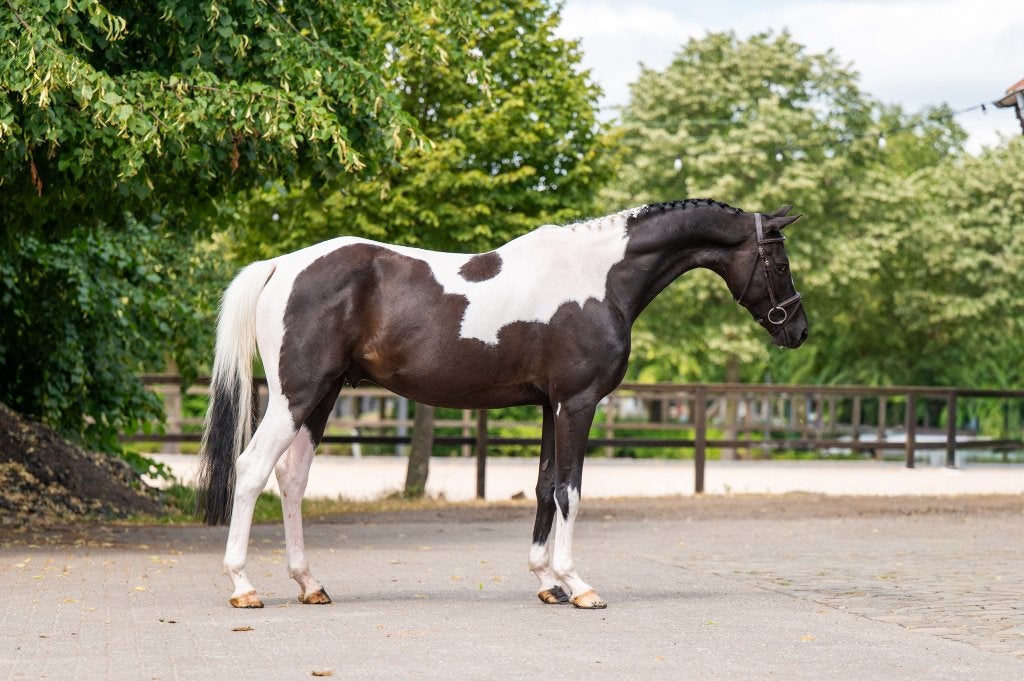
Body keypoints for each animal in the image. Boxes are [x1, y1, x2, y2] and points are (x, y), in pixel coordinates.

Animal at [197, 198, 808, 609]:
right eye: (779, 264)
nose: (798, 330)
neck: (599, 278)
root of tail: (282, 265)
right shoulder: (577, 403)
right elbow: (570, 491)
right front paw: (578, 585)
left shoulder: (549, 406)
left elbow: (544, 487)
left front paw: (546, 582)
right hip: (295, 397)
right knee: (253, 469)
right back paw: (244, 586)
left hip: (321, 398)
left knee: (292, 478)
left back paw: (310, 584)